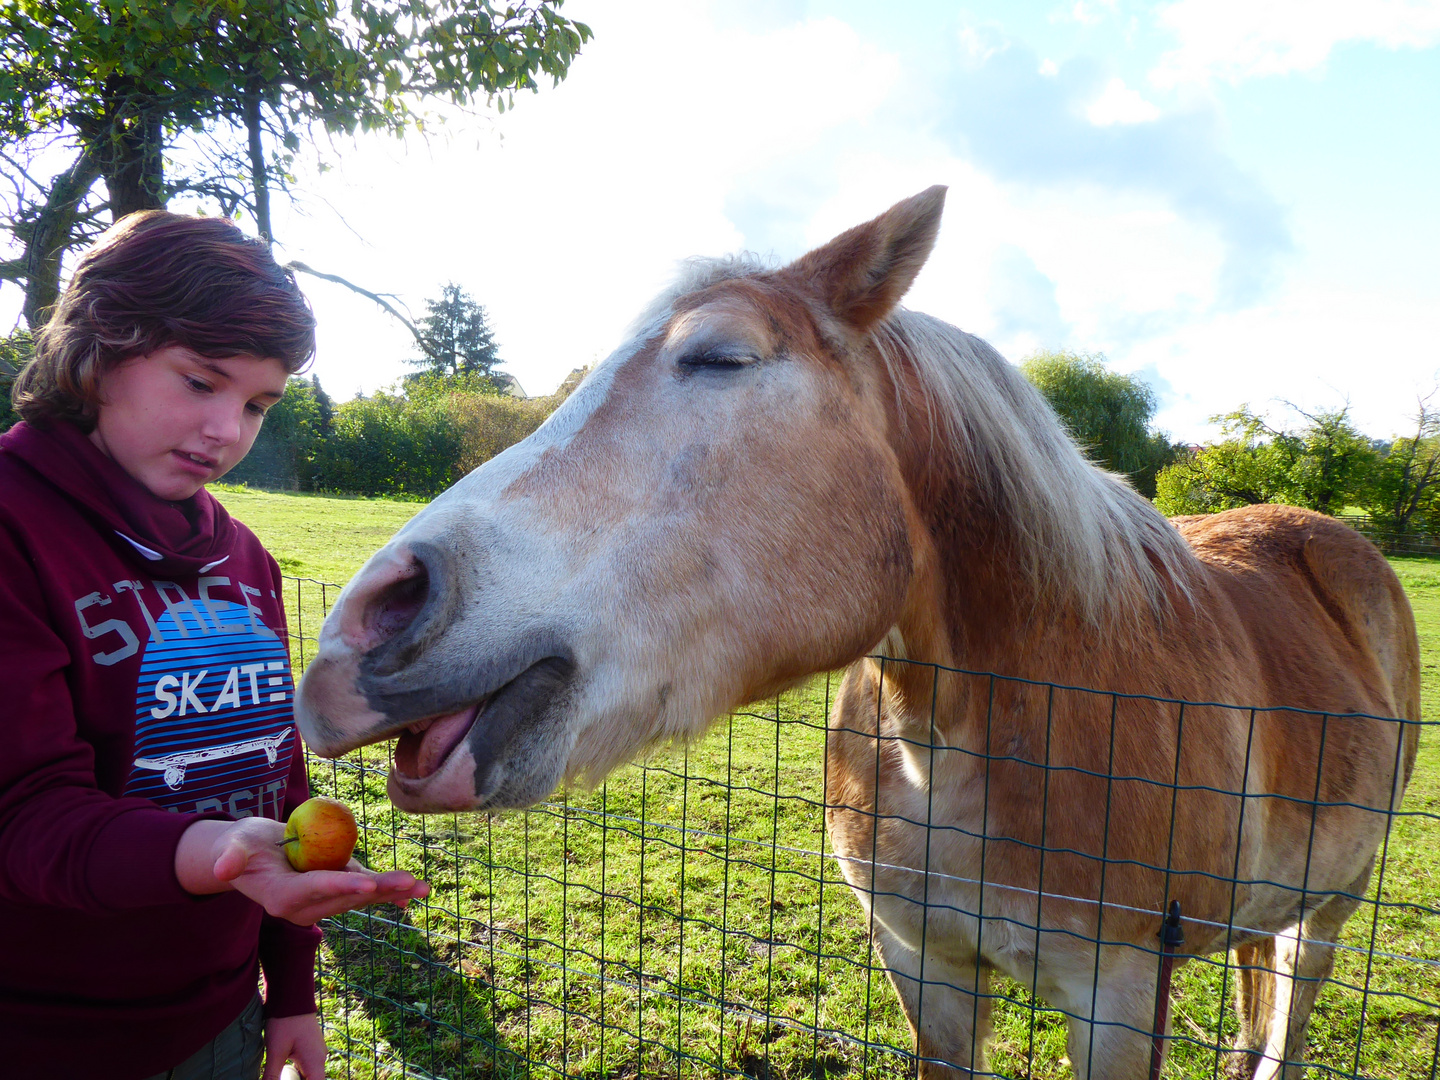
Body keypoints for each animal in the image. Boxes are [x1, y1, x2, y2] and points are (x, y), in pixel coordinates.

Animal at [292, 188, 1416, 1080]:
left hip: (1331, 910)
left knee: (1289, 1019)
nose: (369, 622)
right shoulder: (925, 969)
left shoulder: (1122, 998)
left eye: (721, 357)